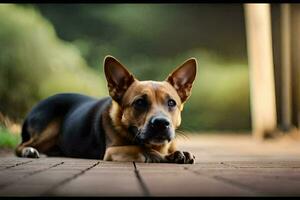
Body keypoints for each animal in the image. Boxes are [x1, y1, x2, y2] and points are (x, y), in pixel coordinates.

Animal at [14, 55, 197, 163]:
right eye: (139, 103)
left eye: (171, 103)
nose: (161, 123)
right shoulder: (112, 151)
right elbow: (142, 149)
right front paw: (166, 156)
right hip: (48, 129)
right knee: (21, 146)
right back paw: (30, 150)